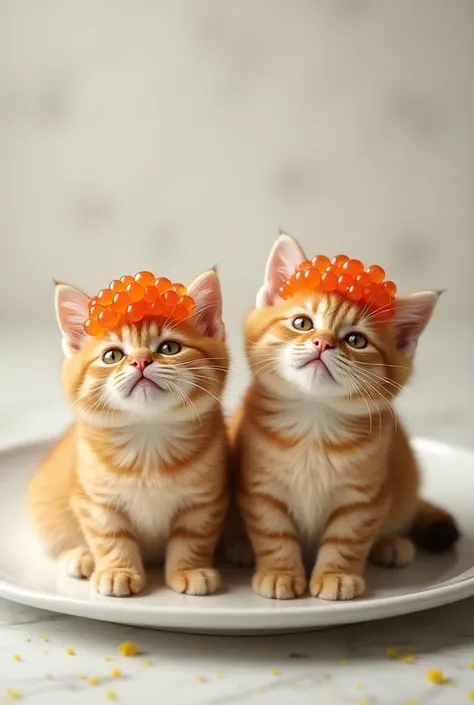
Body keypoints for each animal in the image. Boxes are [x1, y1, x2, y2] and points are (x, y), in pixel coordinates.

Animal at [26, 266, 231, 596]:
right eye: (113, 355)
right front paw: (117, 571)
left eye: (169, 348)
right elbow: (109, 536)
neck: (148, 439)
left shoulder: (205, 500)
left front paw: (190, 570)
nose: (141, 360)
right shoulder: (93, 500)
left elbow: (193, 537)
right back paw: (80, 556)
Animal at [233, 235, 460, 600]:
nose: (323, 343)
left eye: (356, 340)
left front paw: (336, 576)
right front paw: (280, 572)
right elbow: (274, 534)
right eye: (302, 323)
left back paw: (392, 543)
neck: (314, 420)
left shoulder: (363, 499)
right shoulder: (261, 490)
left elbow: (347, 539)